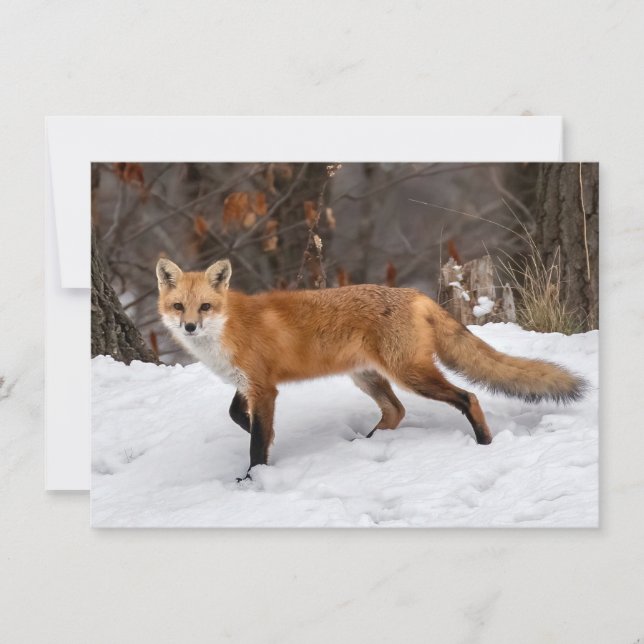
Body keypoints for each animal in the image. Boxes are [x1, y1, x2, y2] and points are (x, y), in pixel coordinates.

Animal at [157, 257, 587, 481]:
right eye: (179, 307)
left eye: (205, 307)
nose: (189, 326)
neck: (227, 329)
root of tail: (415, 294)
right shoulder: (251, 384)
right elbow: (236, 415)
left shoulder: (264, 388)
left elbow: (257, 442)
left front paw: (254, 479)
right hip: (366, 377)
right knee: (396, 411)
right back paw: (366, 444)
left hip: (409, 375)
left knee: (468, 396)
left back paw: (484, 443)